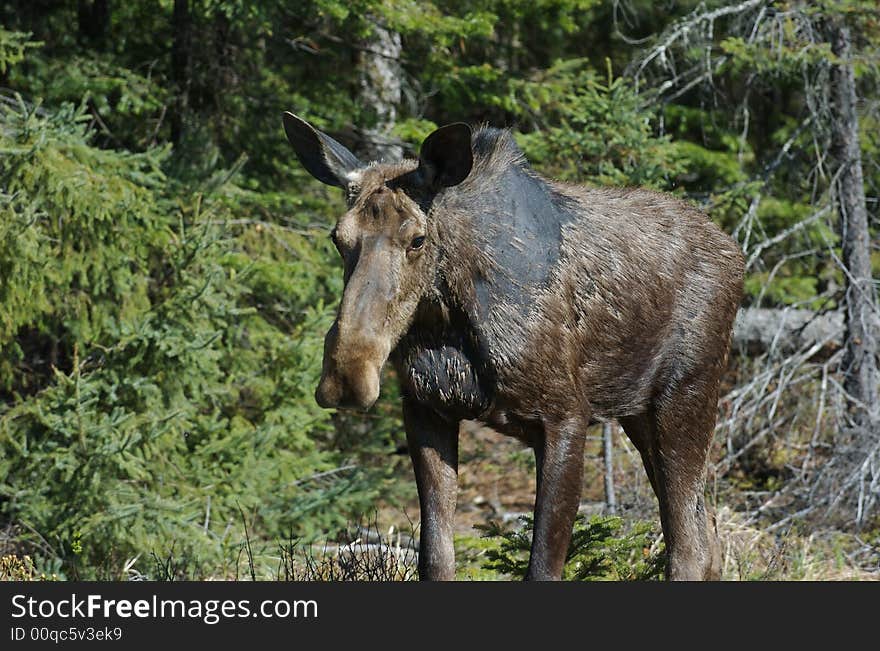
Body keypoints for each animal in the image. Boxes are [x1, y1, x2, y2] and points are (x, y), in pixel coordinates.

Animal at [282, 112, 744, 580]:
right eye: (337, 238)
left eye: (417, 239)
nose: (347, 375)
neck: (448, 322)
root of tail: (735, 252)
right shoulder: (426, 409)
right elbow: (435, 557)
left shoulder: (565, 415)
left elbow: (542, 566)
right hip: (639, 411)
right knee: (707, 532)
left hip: (687, 393)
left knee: (687, 545)